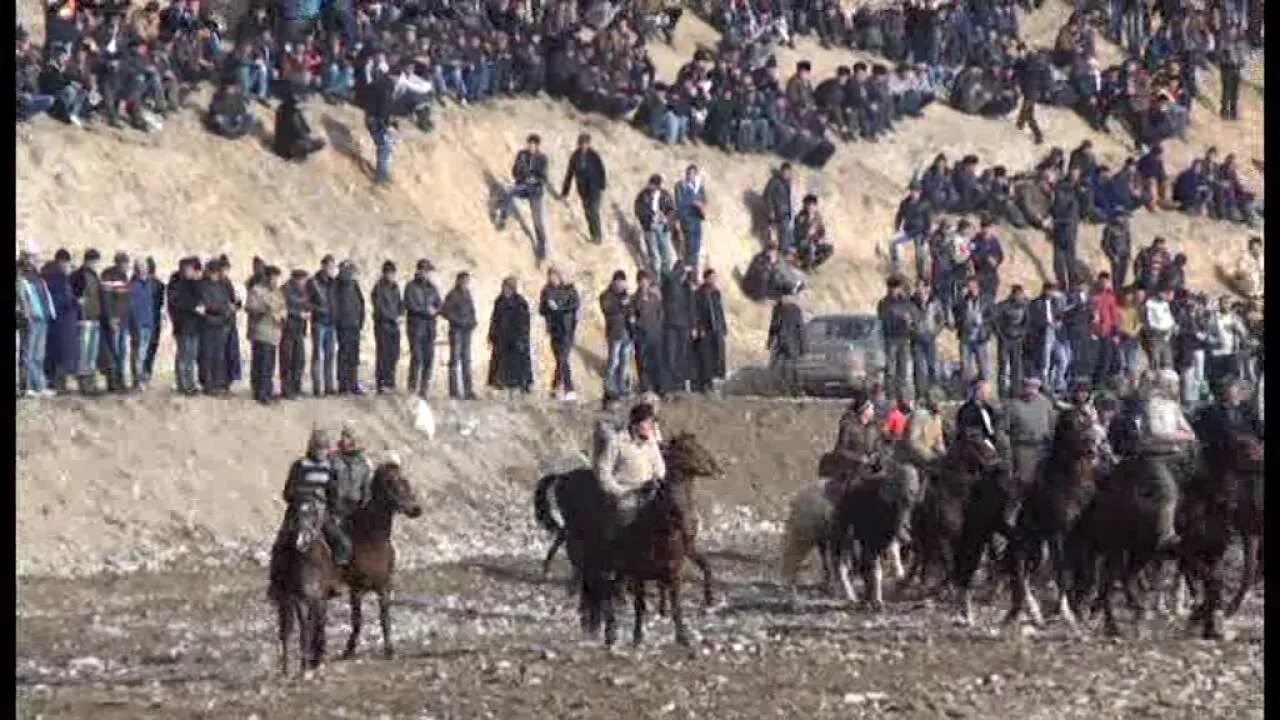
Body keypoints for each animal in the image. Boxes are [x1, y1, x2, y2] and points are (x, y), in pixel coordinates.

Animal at [266, 458, 422, 671]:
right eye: (392, 483)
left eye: (405, 481)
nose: (416, 509)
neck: (370, 534)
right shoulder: (381, 585)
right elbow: (382, 617)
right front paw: (388, 650)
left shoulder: (357, 589)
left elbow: (359, 619)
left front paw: (349, 650)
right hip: (308, 596)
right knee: (304, 628)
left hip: (292, 596)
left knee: (291, 630)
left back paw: (295, 666)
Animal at [578, 430, 721, 645]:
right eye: (687, 449)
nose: (715, 467)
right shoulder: (639, 575)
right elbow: (640, 605)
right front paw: (638, 637)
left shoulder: (675, 568)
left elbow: (679, 598)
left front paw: (682, 634)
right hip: (604, 566)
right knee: (604, 593)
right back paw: (609, 633)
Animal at [998, 404, 1100, 627]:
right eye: (1070, 422)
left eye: (1091, 418)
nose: (1092, 449)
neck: (1070, 484)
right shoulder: (1057, 535)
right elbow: (1062, 571)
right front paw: (1066, 613)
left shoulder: (1082, 537)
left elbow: (1083, 571)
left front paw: (1081, 608)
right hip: (1026, 544)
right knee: (1020, 572)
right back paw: (1031, 613)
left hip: (1037, 547)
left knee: (1026, 573)